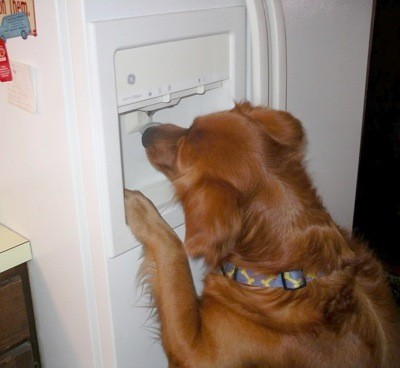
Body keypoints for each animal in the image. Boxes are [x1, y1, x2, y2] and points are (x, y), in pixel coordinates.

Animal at [125, 101, 400, 368]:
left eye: (181, 151)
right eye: (190, 125)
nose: (147, 133)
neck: (285, 268)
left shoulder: (196, 351)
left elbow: (174, 255)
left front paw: (138, 208)